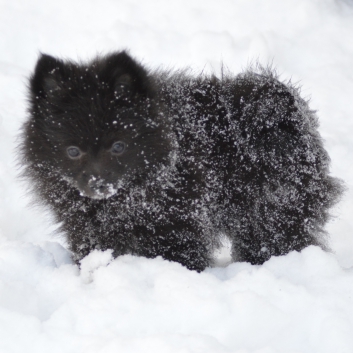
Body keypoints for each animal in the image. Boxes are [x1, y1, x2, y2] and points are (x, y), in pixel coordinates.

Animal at [20, 50, 342, 270]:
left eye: (119, 146)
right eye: (73, 151)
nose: (98, 184)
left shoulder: (178, 220)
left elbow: (182, 255)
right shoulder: (86, 228)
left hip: (272, 207)